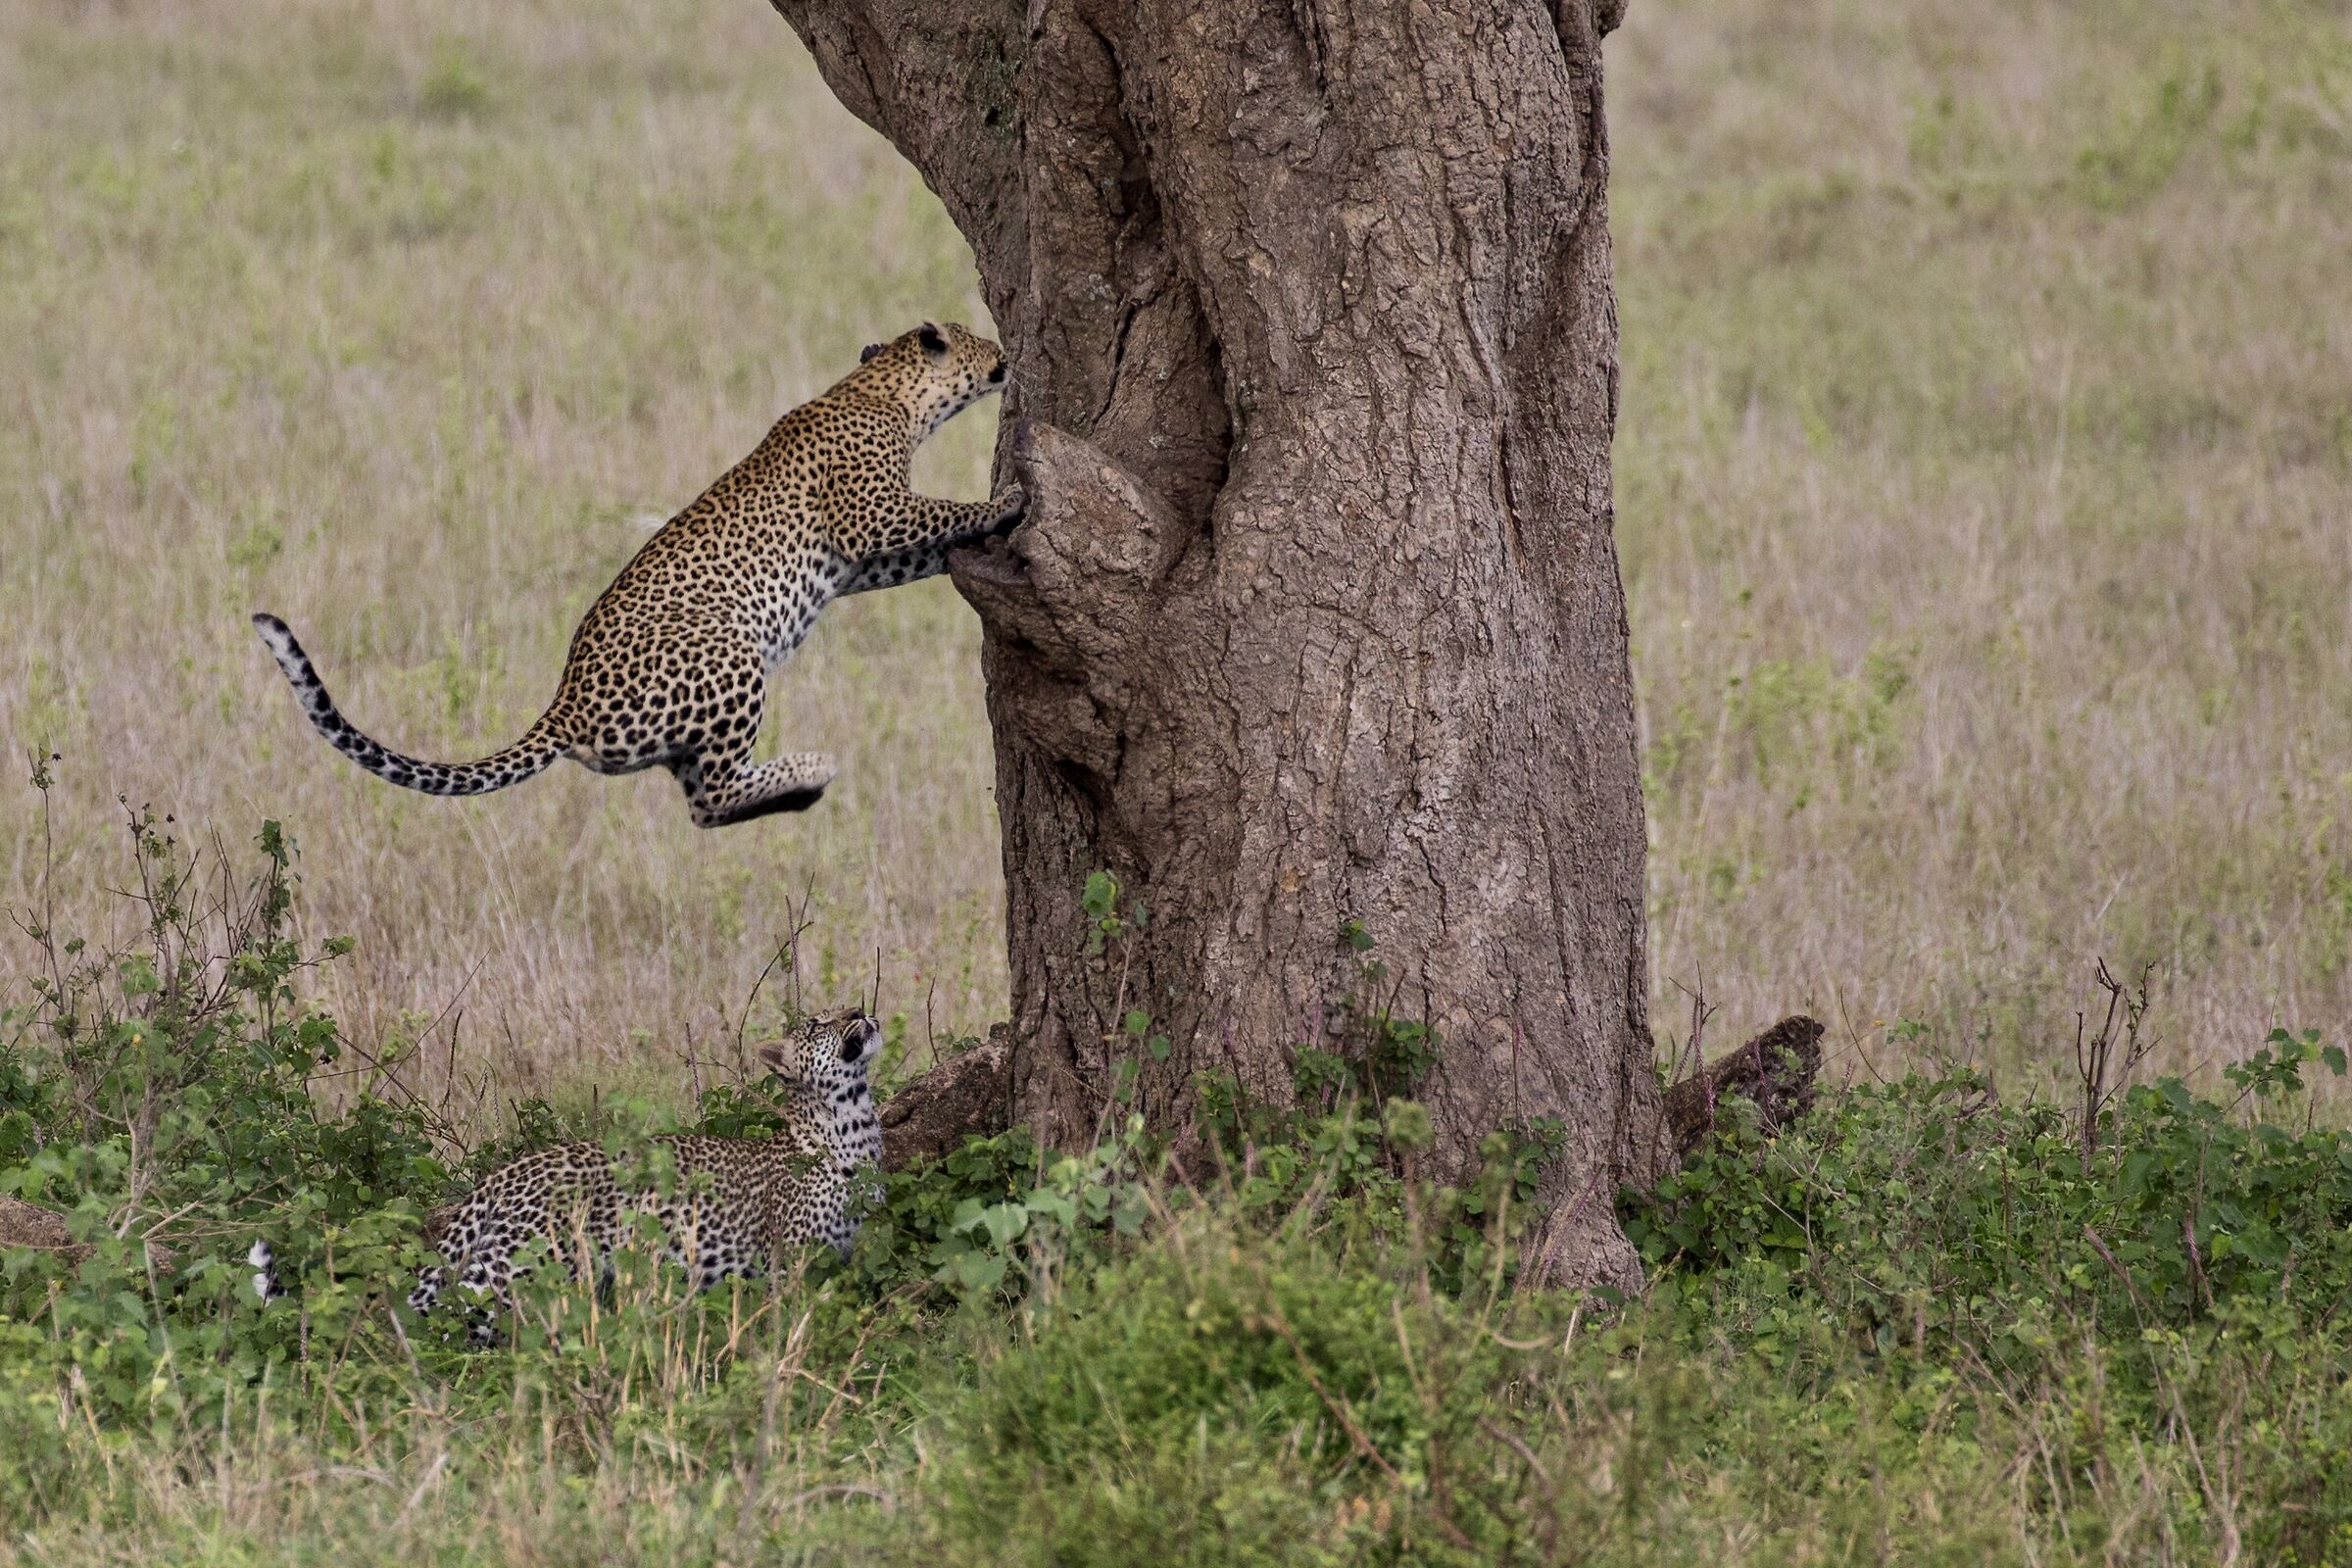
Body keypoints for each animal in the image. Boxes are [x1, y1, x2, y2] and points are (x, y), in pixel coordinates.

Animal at [248, 1007, 884, 1345]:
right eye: (820, 1023)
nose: (861, 1010)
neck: (855, 1123)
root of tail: (507, 1173)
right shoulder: (790, 1263)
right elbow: (795, 1320)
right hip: (532, 1266)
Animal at [251, 321, 1020, 827]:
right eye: (980, 340)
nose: (1007, 356)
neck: (885, 391)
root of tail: (562, 706)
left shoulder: (861, 558)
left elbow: (928, 543)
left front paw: (985, 537)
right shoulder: (871, 515)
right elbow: (942, 509)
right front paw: (1006, 503)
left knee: (702, 805)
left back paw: (796, 789)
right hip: (729, 655)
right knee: (714, 795)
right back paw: (810, 772)